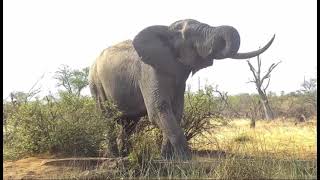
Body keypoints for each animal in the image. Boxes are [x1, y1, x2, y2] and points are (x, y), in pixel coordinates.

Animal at [88, 19, 276, 160]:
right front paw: (186, 160)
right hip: (95, 83)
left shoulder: (178, 77)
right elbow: (158, 109)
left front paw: (166, 158)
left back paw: (125, 155)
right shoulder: (149, 70)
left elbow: (176, 111)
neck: (167, 29)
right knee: (107, 118)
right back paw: (114, 157)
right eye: (190, 35)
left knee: (129, 123)